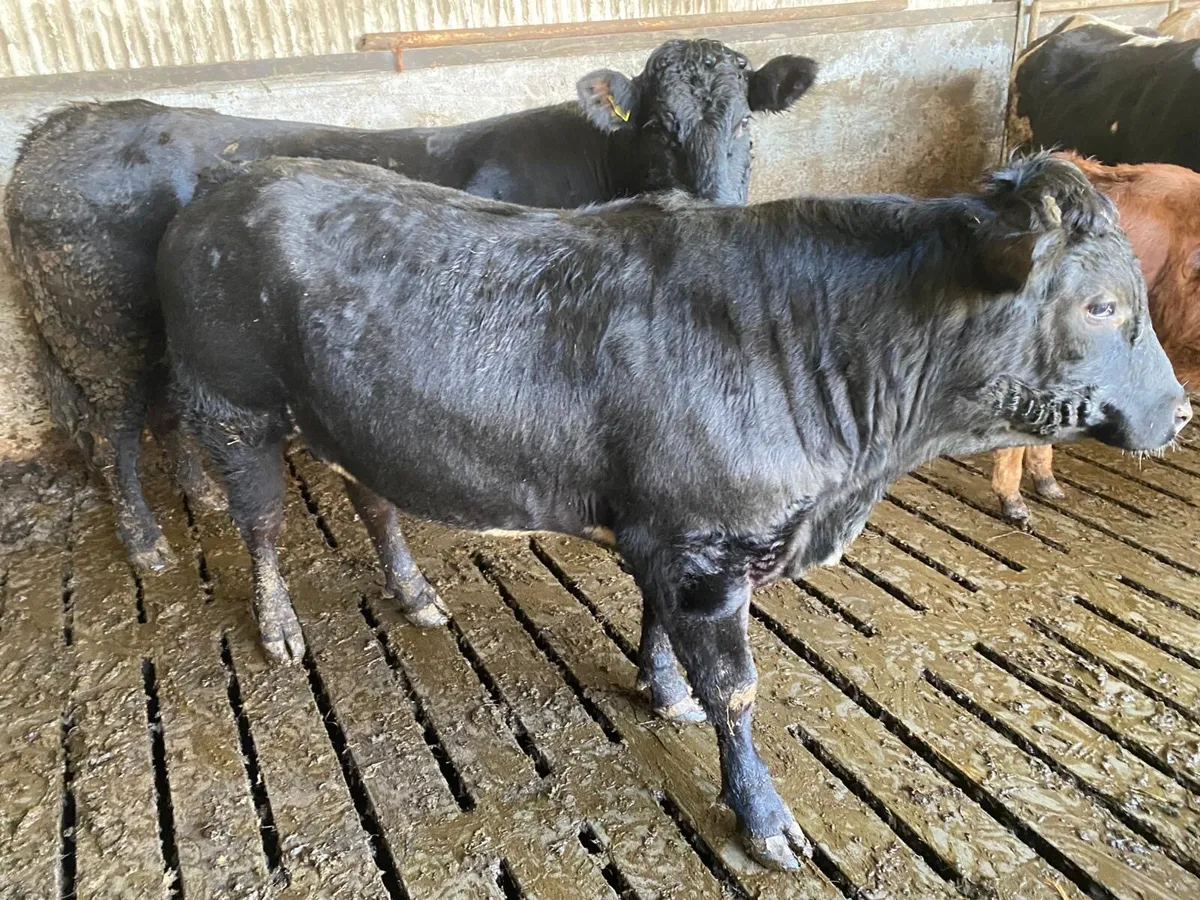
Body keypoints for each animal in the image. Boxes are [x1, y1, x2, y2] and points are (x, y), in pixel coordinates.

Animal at [4, 39, 818, 574]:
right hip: (101, 329)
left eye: (744, 122)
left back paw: (200, 492)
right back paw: (146, 542)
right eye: (656, 126)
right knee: (112, 428)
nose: (715, 210)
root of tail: (64, 124)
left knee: (167, 411)